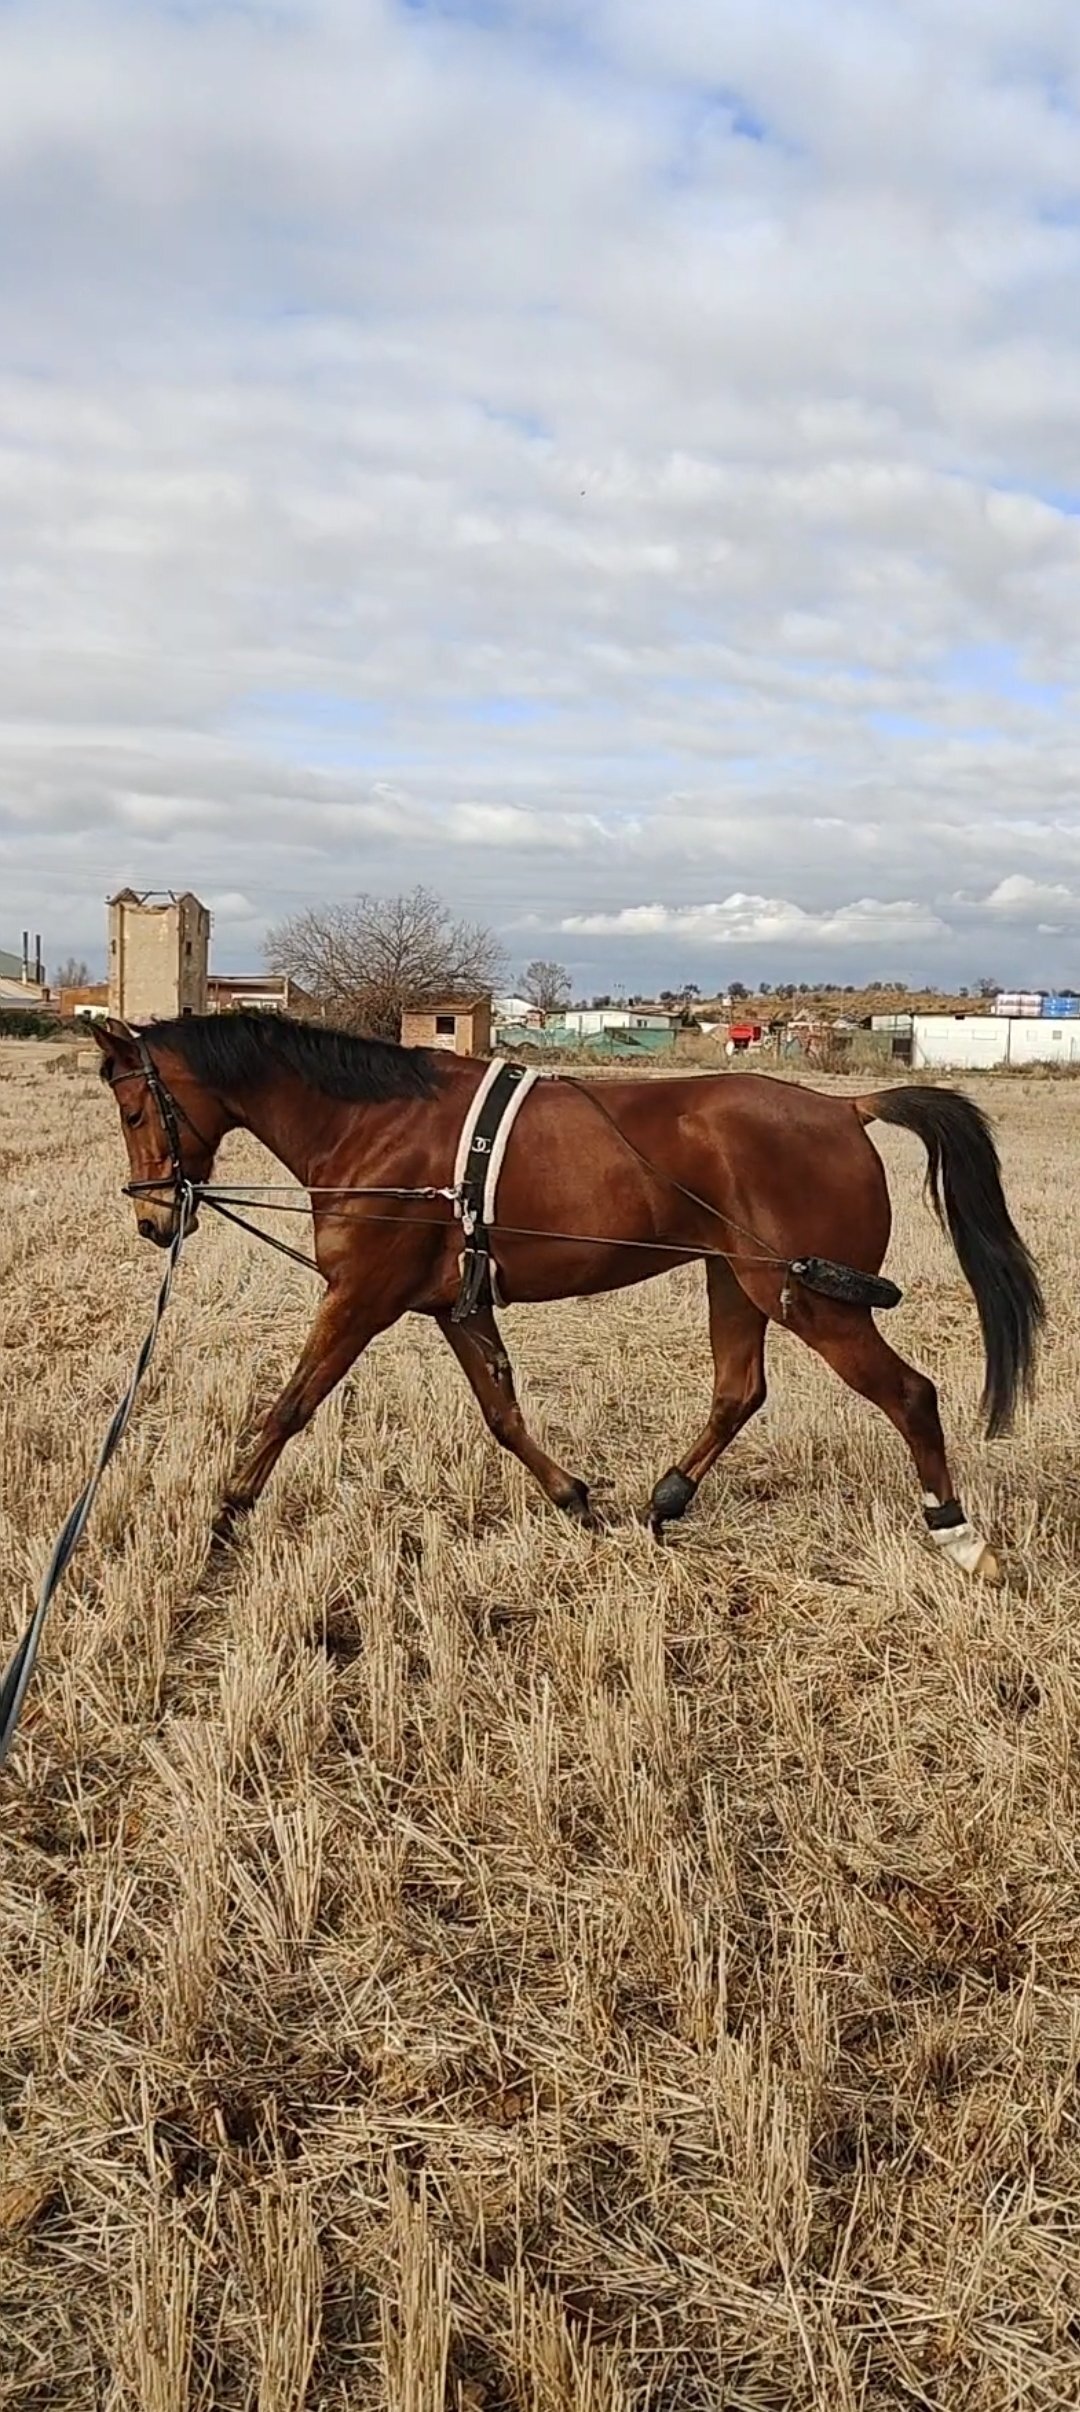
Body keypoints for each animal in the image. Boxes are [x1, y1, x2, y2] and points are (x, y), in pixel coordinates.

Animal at [90, 1012, 1043, 1581]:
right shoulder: (457, 1307)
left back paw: (960, 1536)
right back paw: (667, 1499)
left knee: (910, 1394)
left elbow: (292, 1405)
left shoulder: (360, 1299)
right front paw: (573, 1499)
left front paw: (226, 1514)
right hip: (738, 1282)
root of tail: (846, 1109)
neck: (373, 1123)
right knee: (739, 1392)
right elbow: (504, 1417)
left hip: (811, 1300)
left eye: (135, 1110)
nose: (151, 1219)